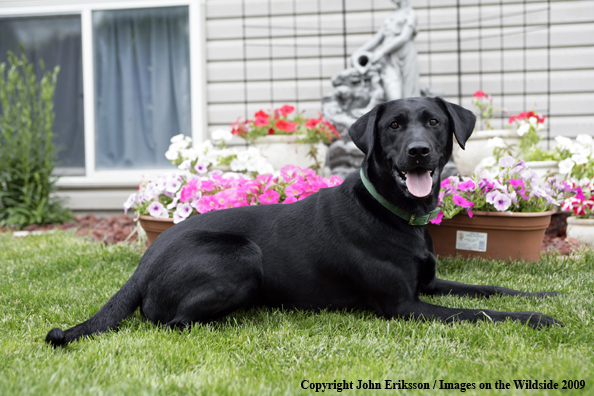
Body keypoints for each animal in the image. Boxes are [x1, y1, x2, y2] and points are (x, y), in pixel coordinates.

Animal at [47, 97, 560, 344]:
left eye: (434, 122)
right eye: (393, 126)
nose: (419, 152)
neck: (392, 212)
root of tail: (143, 265)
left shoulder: (429, 285)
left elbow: (490, 289)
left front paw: (546, 295)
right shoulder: (404, 306)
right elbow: (481, 312)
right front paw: (537, 318)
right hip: (241, 258)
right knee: (171, 323)